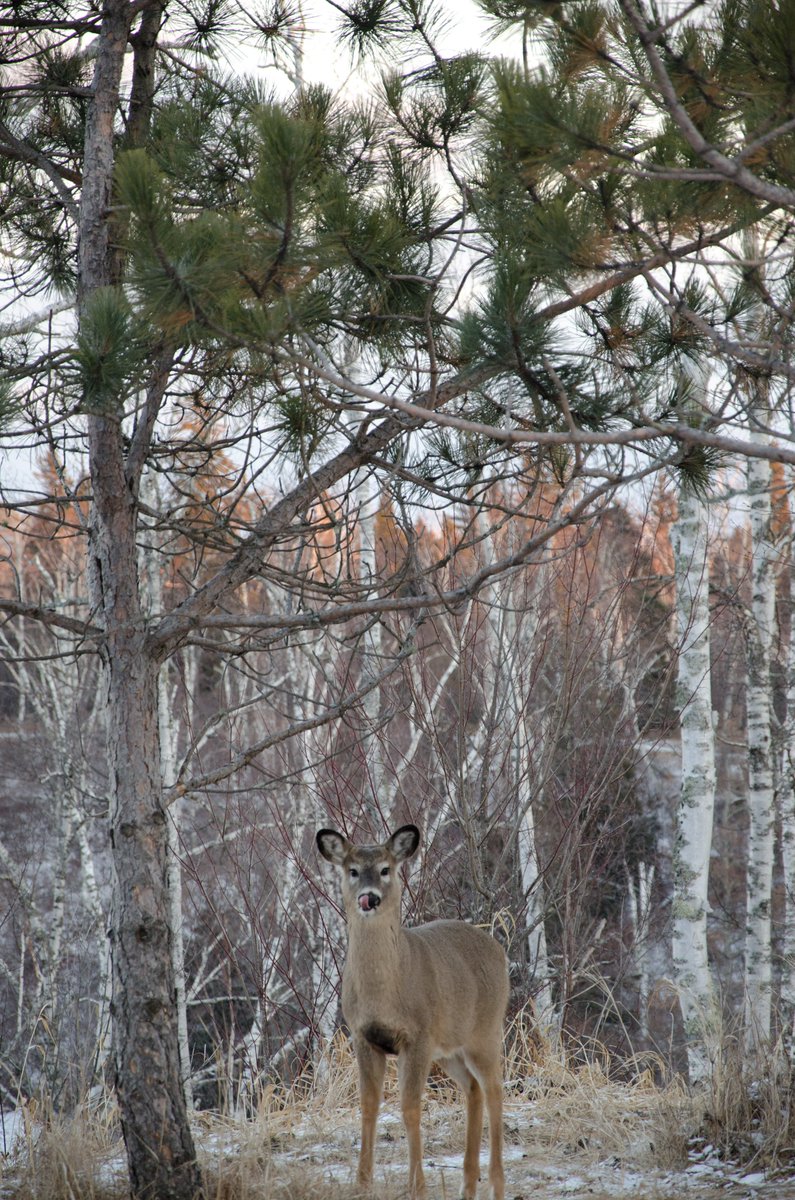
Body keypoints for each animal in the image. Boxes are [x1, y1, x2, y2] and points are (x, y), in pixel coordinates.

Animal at [316, 824, 509, 1200]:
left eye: (386, 869)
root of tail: (499, 950)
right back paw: (468, 1183)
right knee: (474, 1089)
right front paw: (362, 1182)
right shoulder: (363, 1036)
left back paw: (496, 1183)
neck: (386, 992)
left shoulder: (418, 1035)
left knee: (494, 1089)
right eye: (353, 870)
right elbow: (368, 1105)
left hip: (485, 1032)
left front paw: (417, 1185)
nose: (370, 897)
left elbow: (409, 1107)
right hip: (451, 1049)